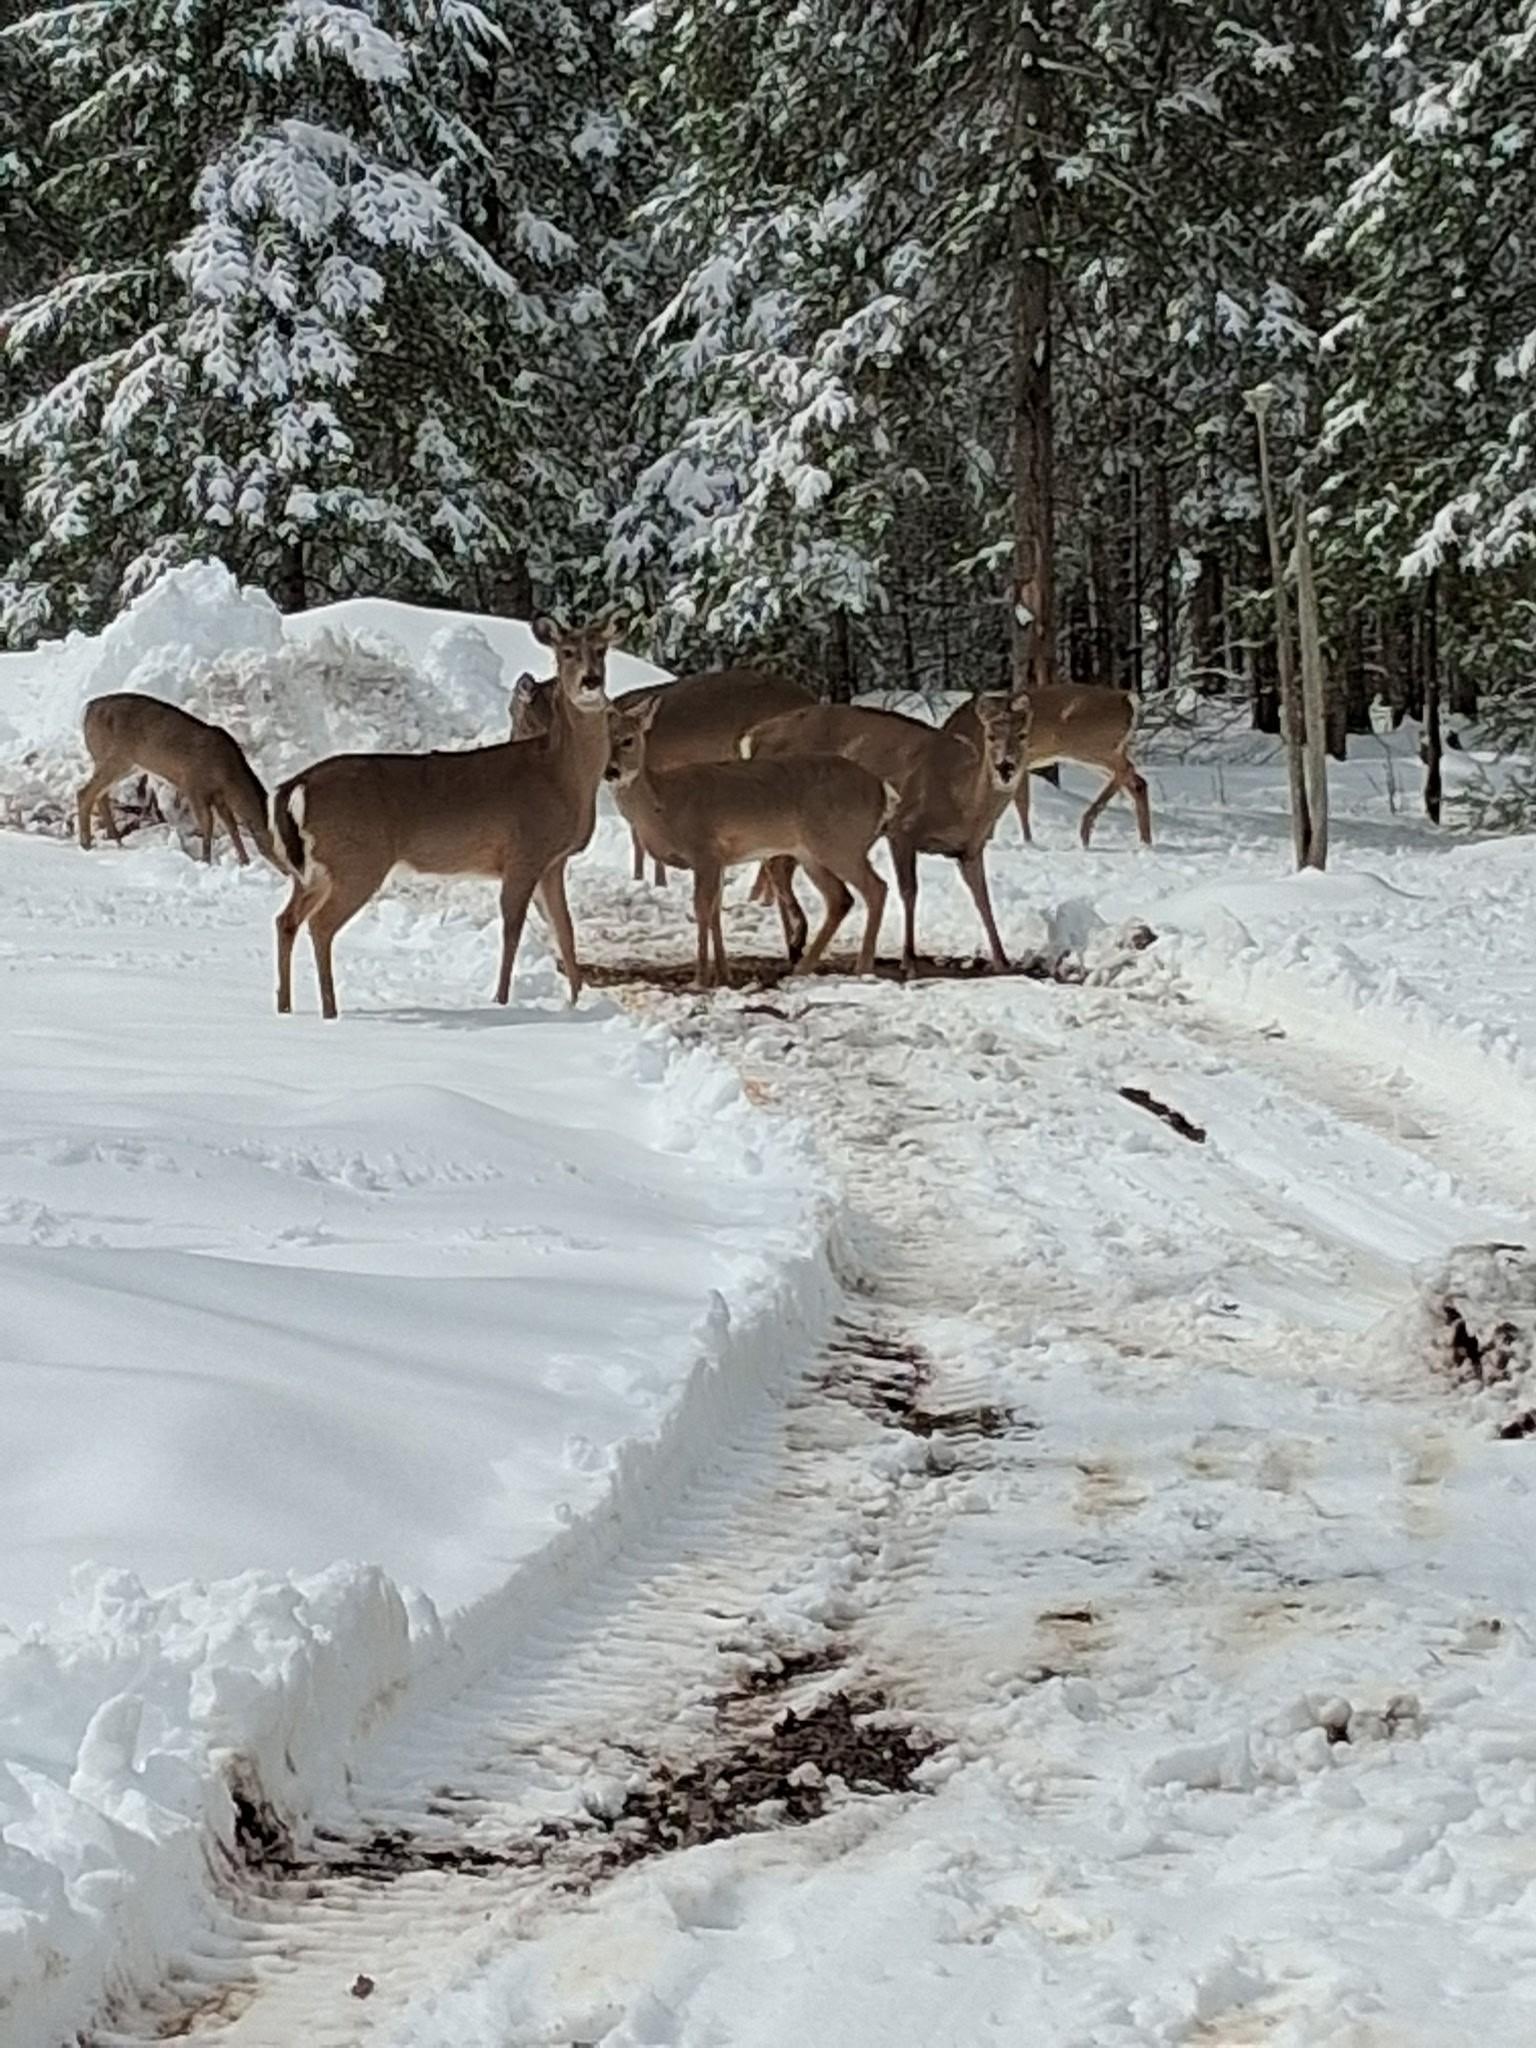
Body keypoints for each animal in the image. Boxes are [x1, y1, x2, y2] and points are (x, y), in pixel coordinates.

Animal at [77, 694, 277, 866]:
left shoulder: (218, 796)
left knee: (100, 795)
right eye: (280, 846)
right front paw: (206, 861)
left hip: (120, 763)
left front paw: (244, 861)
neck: (227, 774)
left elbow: (231, 826)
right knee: (84, 793)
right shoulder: (193, 785)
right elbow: (208, 824)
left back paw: (117, 841)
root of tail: (87, 709)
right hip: (114, 757)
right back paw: (86, 844)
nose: (285, 873)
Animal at [270, 616, 624, 1019]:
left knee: (286, 919)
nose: (591, 681)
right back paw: (330, 1012)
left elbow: (564, 930)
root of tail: (297, 785)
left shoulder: (553, 862)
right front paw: (501, 1000)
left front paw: (576, 1003)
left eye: (602, 650)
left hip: (316, 869)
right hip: (356, 860)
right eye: (566, 652)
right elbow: (513, 927)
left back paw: (284, 1006)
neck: (561, 775)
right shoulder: (525, 851)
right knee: (321, 924)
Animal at [605, 699, 892, 988]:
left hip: (840, 842)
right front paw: (724, 975)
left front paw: (700, 979)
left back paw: (862, 967)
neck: (663, 805)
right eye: (604, 739)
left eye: (628, 740)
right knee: (840, 898)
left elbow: (702, 910)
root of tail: (881, 790)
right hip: (812, 852)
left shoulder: (704, 850)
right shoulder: (720, 859)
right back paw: (803, 968)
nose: (611, 771)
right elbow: (715, 913)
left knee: (876, 888)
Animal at [744, 694, 1030, 976]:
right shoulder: (902, 829)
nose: (1005, 766)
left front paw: (1003, 962)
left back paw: (795, 946)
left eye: (1023, 734)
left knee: (780, 866)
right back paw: (797, 940)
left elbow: (983, 898)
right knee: (775, 865)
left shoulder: (971, 849)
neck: (961, 804)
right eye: (990, 736)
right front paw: (909, 960)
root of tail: (753, 737)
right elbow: (909, 891)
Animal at [944, 685, 1151, 848]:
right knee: (1138, 782)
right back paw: (1145, 843)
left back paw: (1086, 830)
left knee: (1127, 770)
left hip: (1093, 745)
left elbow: (1019, 802)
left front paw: (1026, 841)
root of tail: (1128, 699)